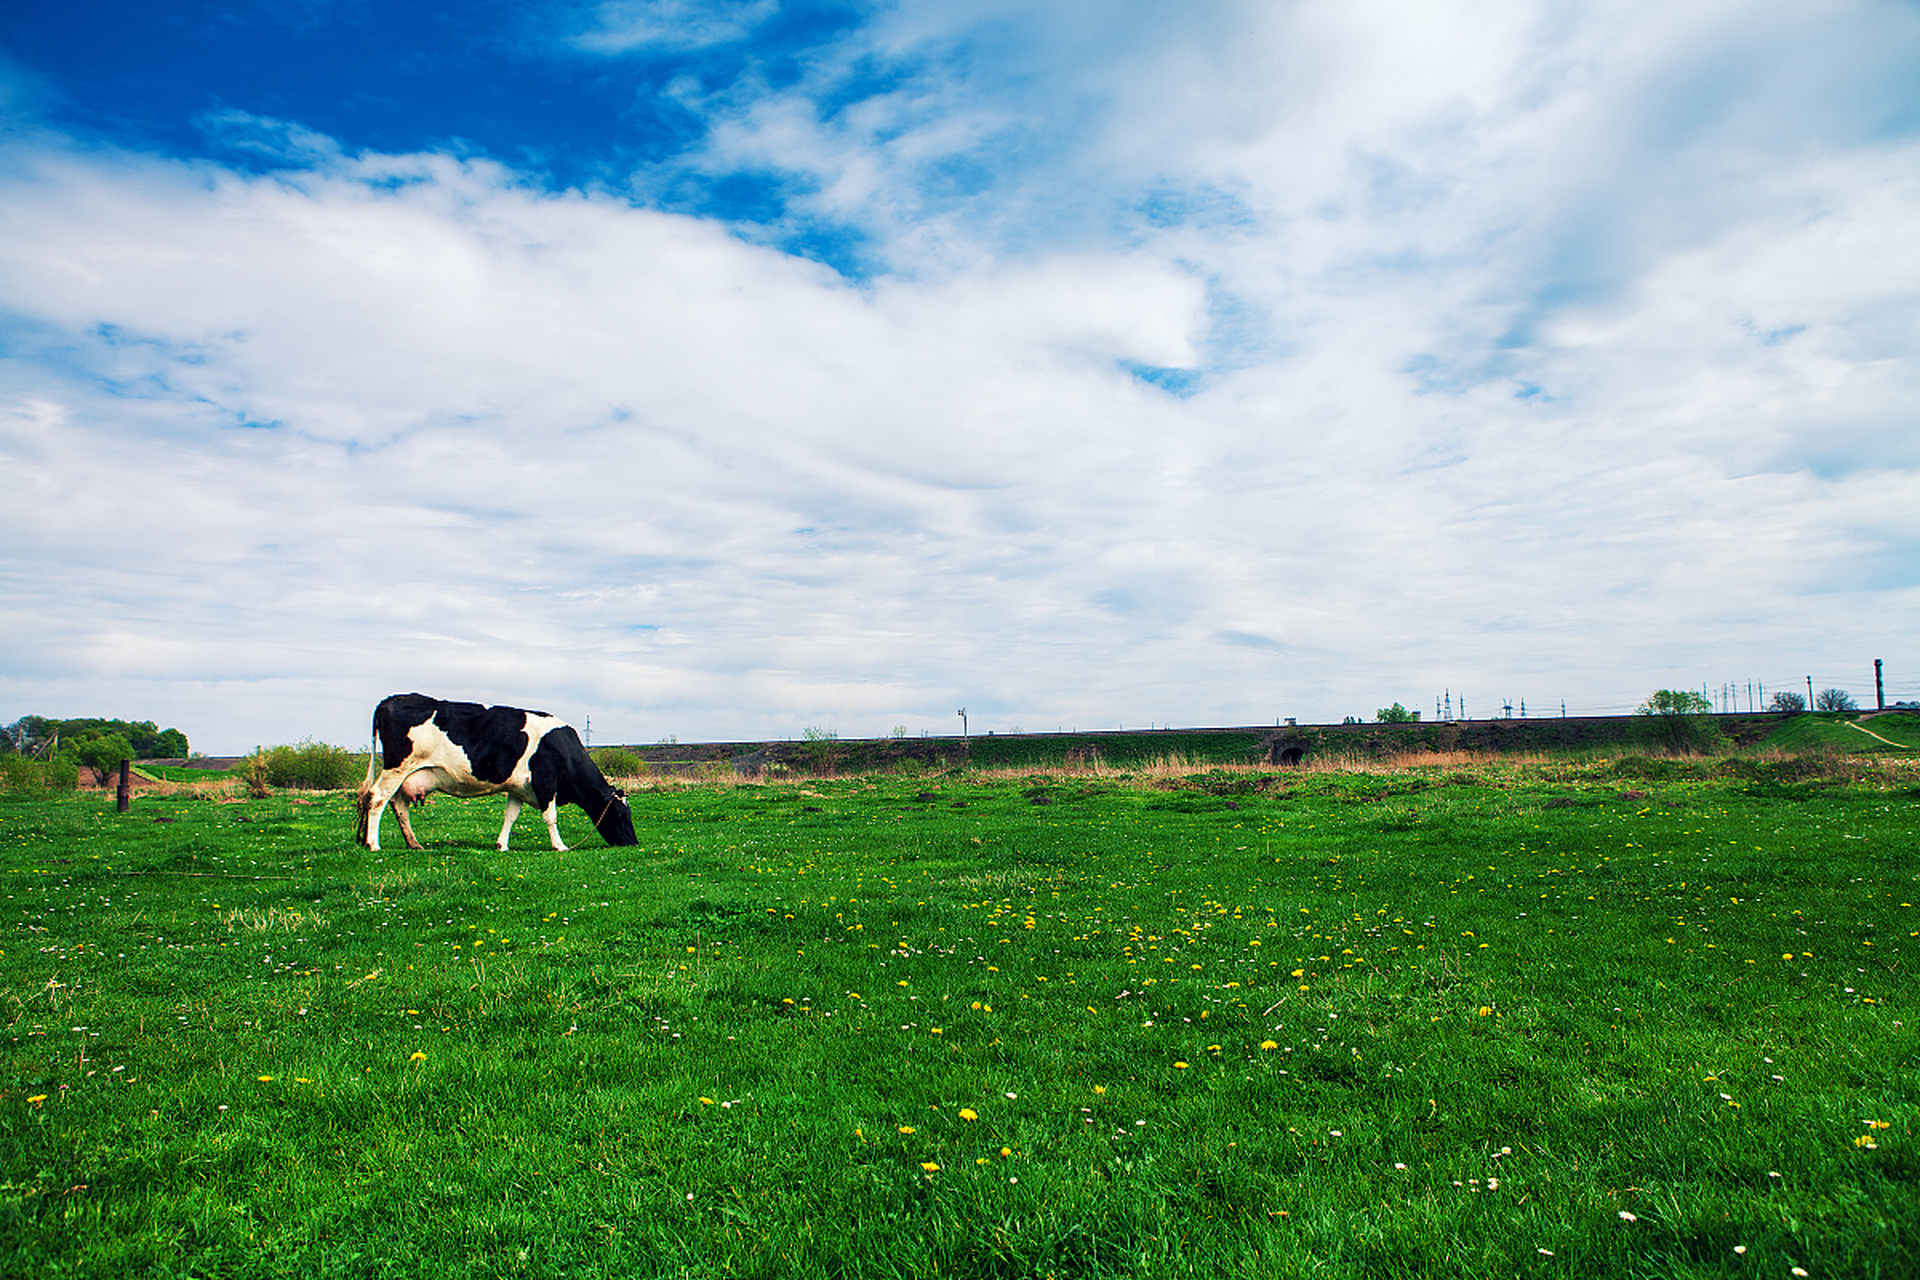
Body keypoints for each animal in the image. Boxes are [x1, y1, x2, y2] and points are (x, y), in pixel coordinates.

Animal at [353, 690, 637, 852]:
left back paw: (414, 844)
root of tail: (391, 699)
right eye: (621, 814)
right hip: (396, 768)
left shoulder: (519, 788)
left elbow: (510, 816)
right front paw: (560, 845)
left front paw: (502, 845)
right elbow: (550, 816)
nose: (633, 843)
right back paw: (373, 844)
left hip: (407, 775)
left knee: (399, 805)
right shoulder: (545, 781)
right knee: (377, 799)